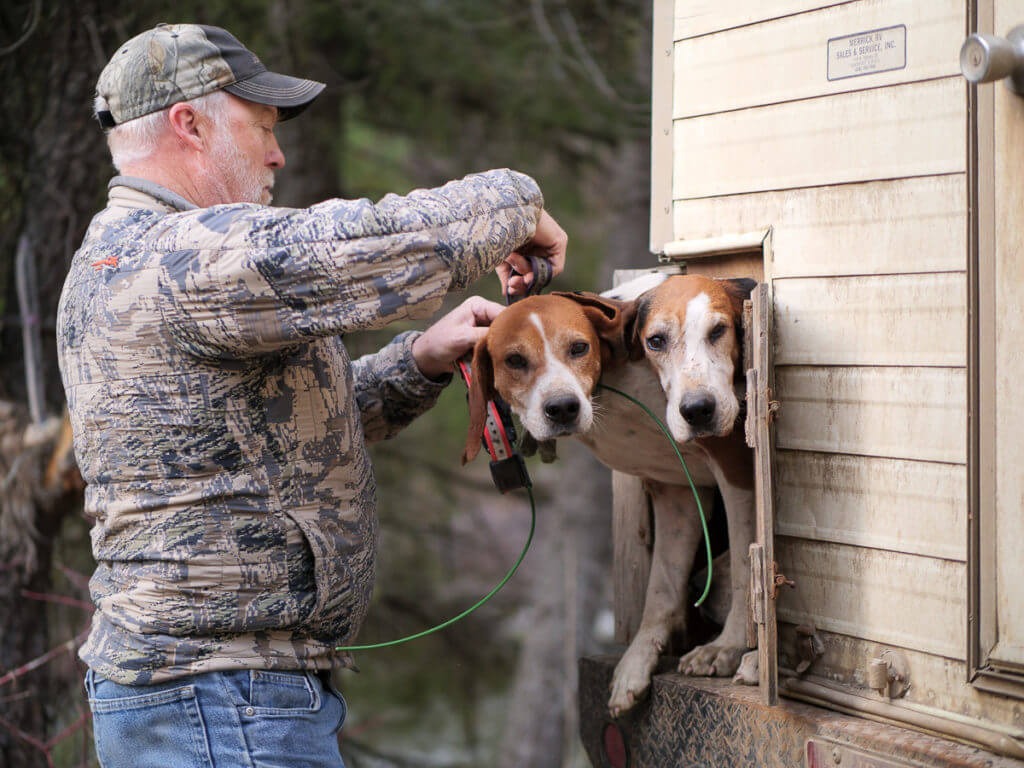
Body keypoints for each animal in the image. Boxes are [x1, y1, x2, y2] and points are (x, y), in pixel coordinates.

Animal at [460, 274, 757, 720]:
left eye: (578, 348)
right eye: (515, 360)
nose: (562, 408)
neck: (615, 384)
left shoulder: (737, 471)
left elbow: (743, 567)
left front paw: (727, 646)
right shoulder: (677, 493)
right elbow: (661, 589)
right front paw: (636, 665)